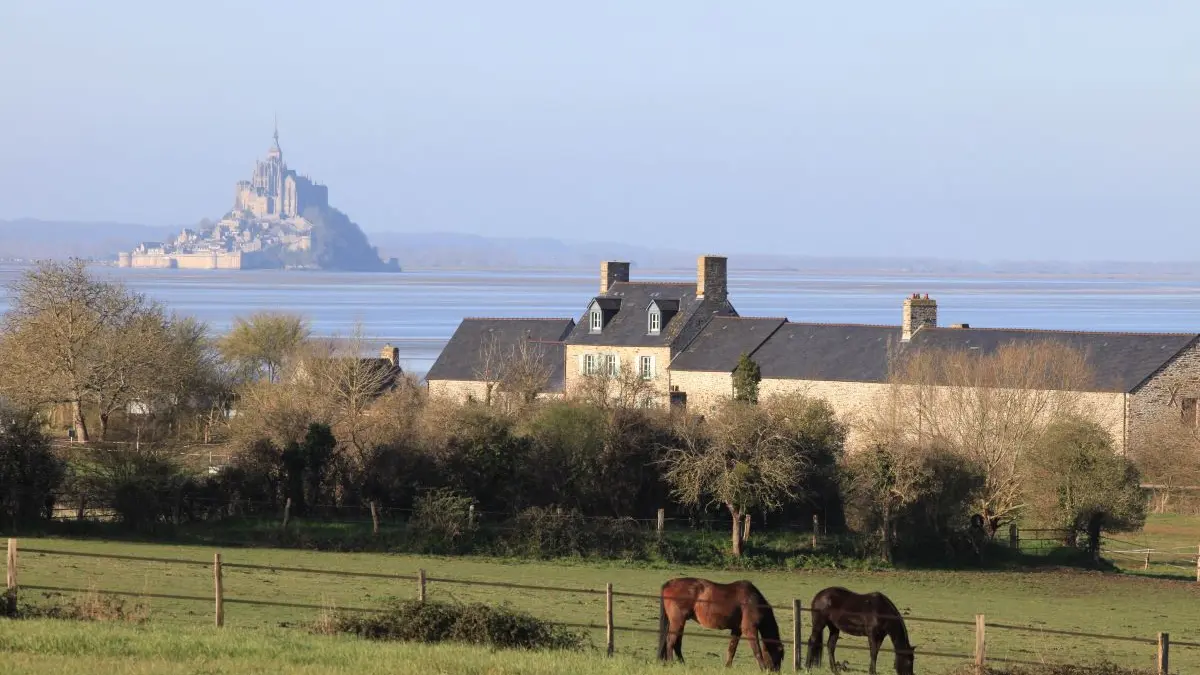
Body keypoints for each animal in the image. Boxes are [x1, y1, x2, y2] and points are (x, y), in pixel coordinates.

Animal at [657, 576, 787, 667]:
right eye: (779, 655)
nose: (775, 671)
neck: (753, 600)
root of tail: (670, 583)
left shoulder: (737, 630)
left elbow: (732, 649)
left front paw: (727, 667)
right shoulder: (750, 629)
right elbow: (757, 651)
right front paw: (763, 668)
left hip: (680, 622)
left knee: (677, 644)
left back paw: (682, 664)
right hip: (677, 621)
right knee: (671, 642)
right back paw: (671, 663)